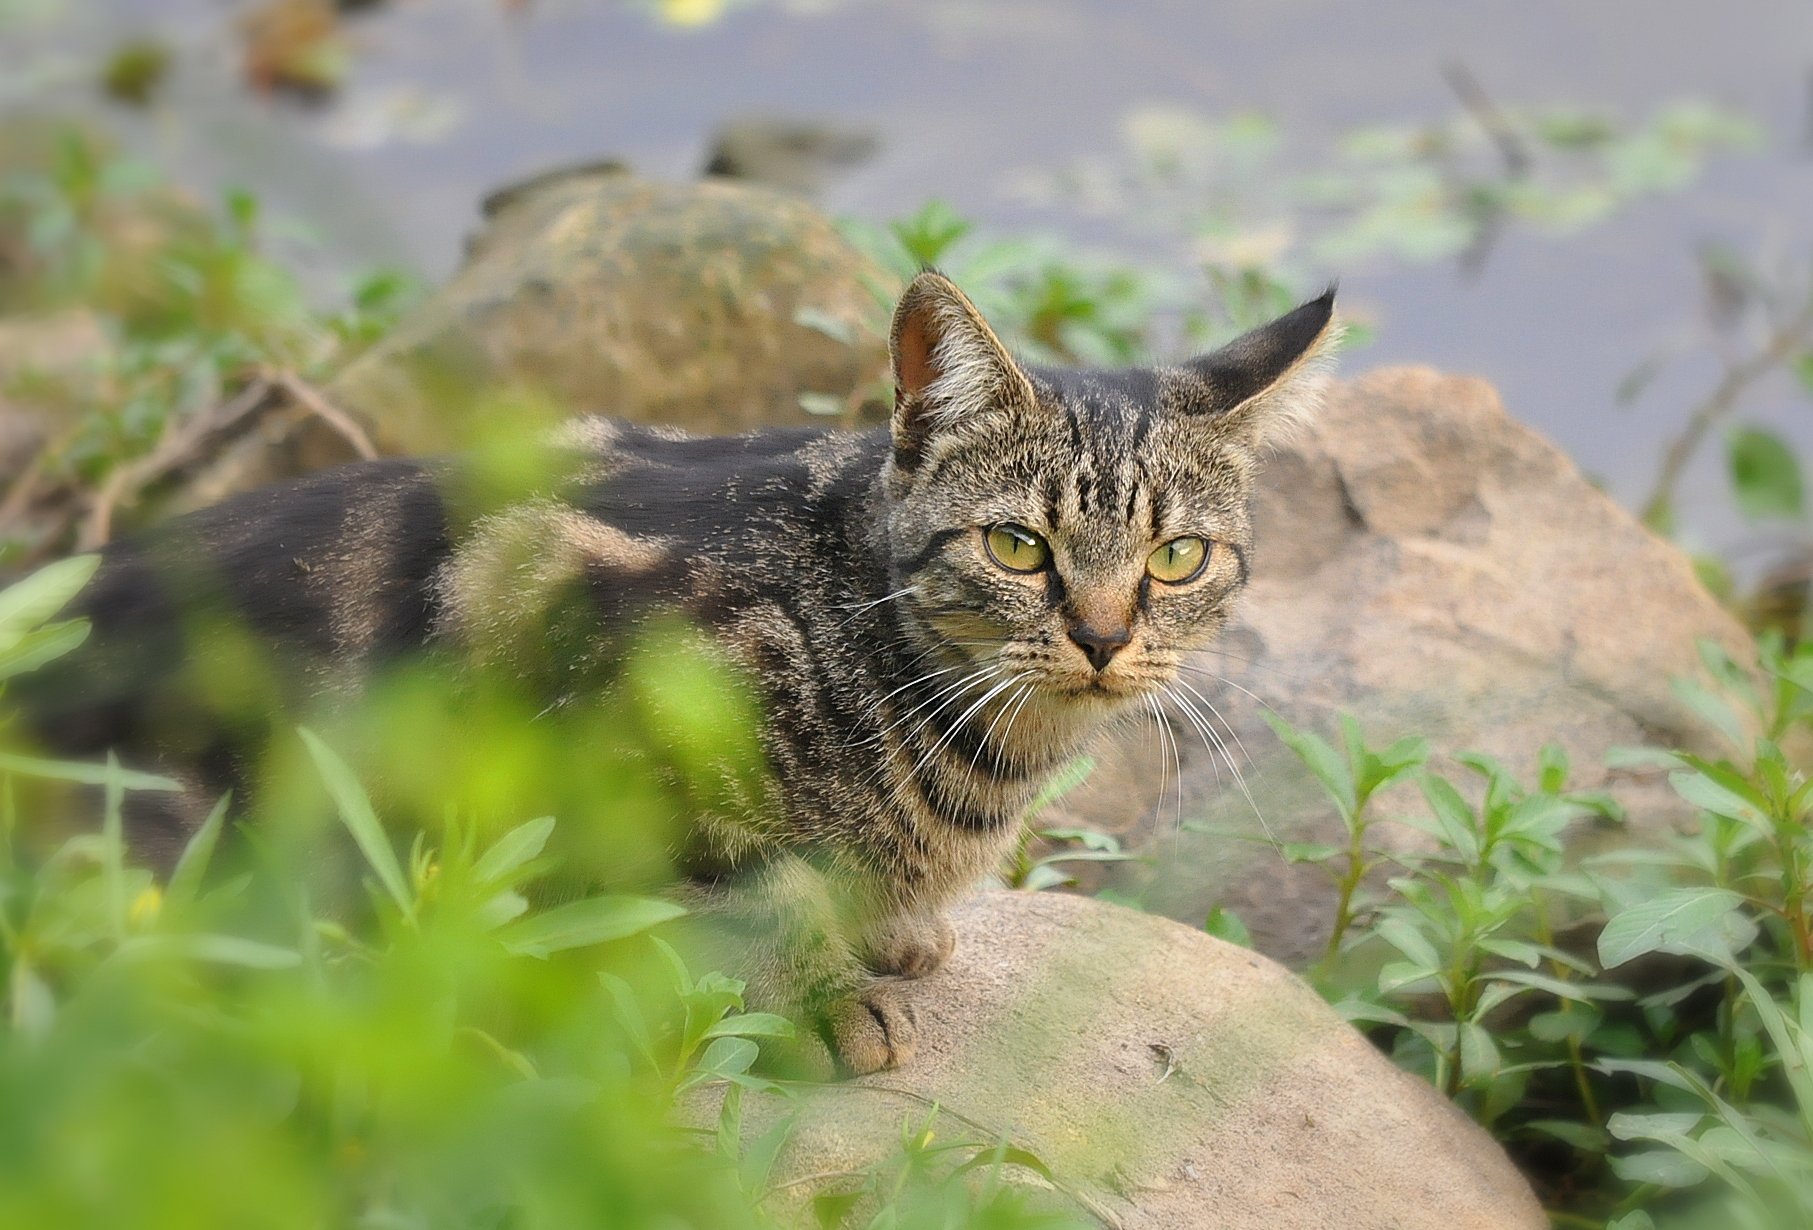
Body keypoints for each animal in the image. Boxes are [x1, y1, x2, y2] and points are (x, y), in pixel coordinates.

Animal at [24, 273, 1334, 1073]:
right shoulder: (569, 687)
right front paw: (830, 993)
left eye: (1175, 558)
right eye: (1017, 545)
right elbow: (759, 889)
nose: (1105, 639)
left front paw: (894, 932)